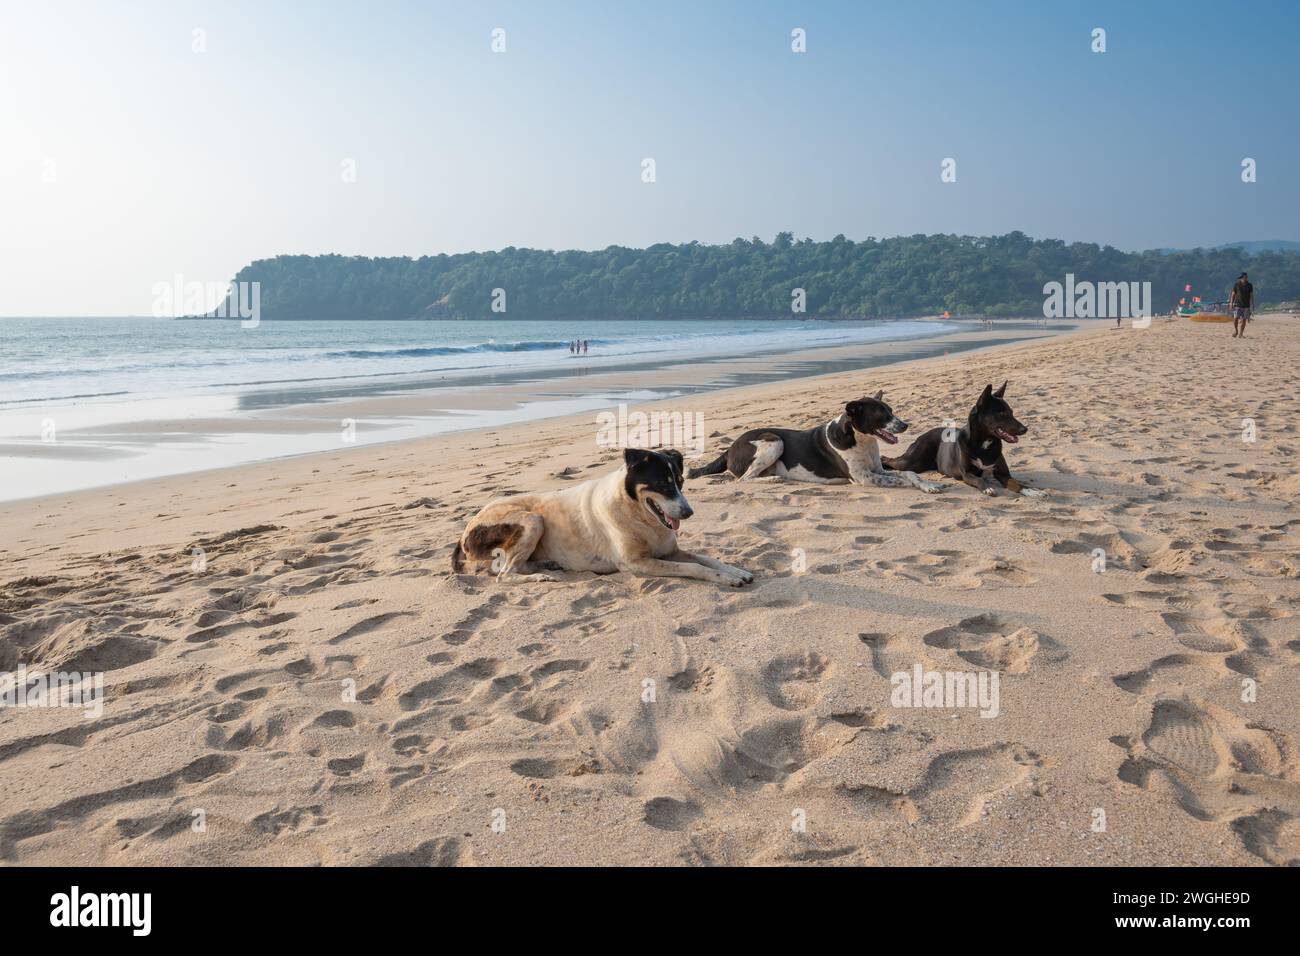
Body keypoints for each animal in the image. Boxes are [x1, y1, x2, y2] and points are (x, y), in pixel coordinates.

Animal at [691, 392, 946, 494]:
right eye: (881, 414)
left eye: (891, 410)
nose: (905, 426)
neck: (861, 440)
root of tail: (729, 448)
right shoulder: (864, 478)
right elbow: (902, 480)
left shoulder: (878, 470)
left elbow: (909, 474)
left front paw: (929, 485)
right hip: (773, 441)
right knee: (744, 479)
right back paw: (774, 479)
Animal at [878, 382, 1040, 502]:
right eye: (1002, 414)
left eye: (1011, 412)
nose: (1025, 429)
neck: (984, 443)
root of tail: (923, 434)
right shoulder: (967, 474)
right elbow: (979, 480)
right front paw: (987, 488)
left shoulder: (1004, 475)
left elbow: (1017, 483)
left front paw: (1032, 491)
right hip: (913, 461)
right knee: (888, 459)